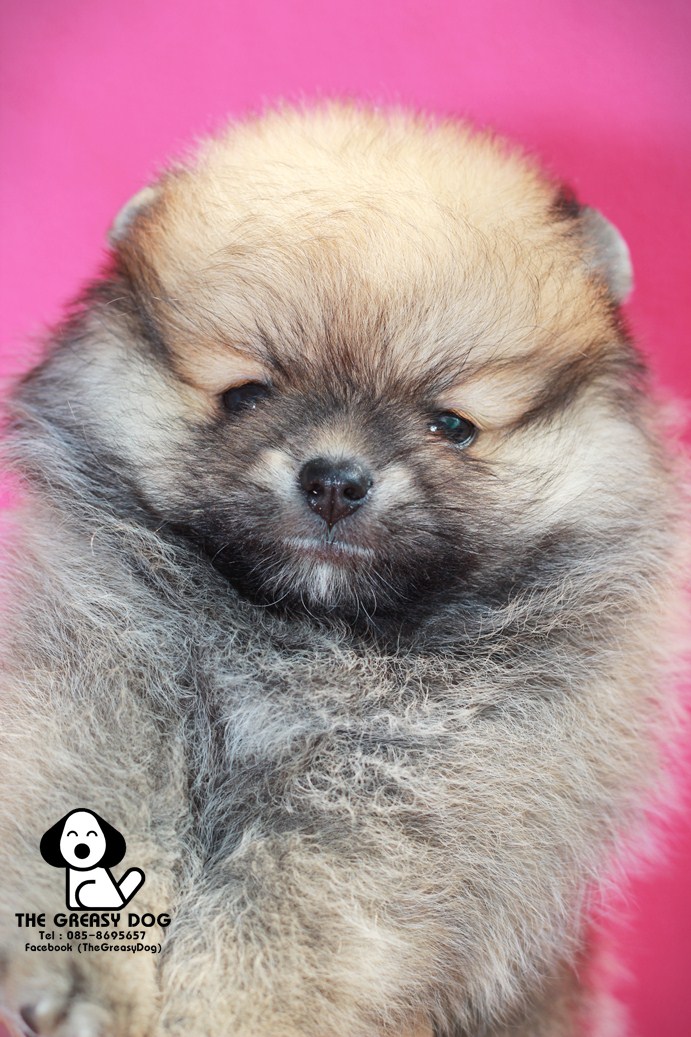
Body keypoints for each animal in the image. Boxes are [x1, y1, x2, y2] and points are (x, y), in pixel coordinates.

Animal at [0, 103, 687, 1037]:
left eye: (451, 425)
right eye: (246, 394)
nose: (333, 479)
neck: (300, 641)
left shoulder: (408, 794)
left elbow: (287, 915)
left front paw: (227, 1017)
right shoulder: (103, 684)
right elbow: (82, 790)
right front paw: (81, 977)